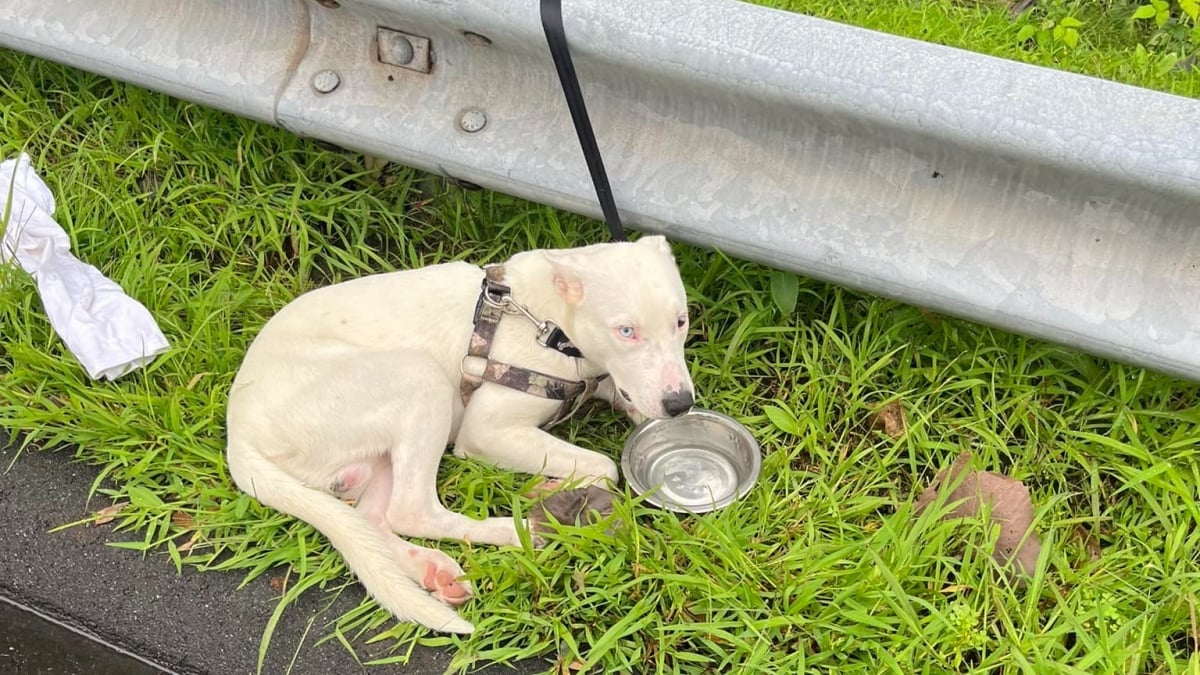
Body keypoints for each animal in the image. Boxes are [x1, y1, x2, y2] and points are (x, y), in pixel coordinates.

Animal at [225, 235, 696, 629]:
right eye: (626, 331)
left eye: (681, 321)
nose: (681, 405)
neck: (549, 324)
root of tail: (238, 435)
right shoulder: (486, 430)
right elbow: (604, 465)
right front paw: (551, 488)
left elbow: (626, 401)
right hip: (418, 375)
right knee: (410, 511)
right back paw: (515, 531)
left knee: (373, 519)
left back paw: (431, 570)